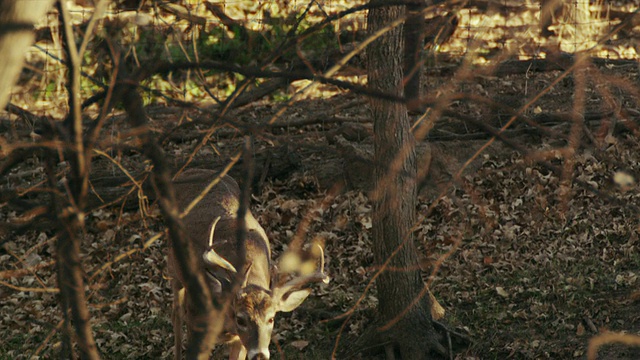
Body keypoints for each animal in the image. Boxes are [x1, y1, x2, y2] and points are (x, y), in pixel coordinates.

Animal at [169, 170, 330, 360]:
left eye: (271, 319)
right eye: (241, 319)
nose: (259, 354)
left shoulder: (239, 341)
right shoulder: (196, 324)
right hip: (172, 263)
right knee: (176, 313)